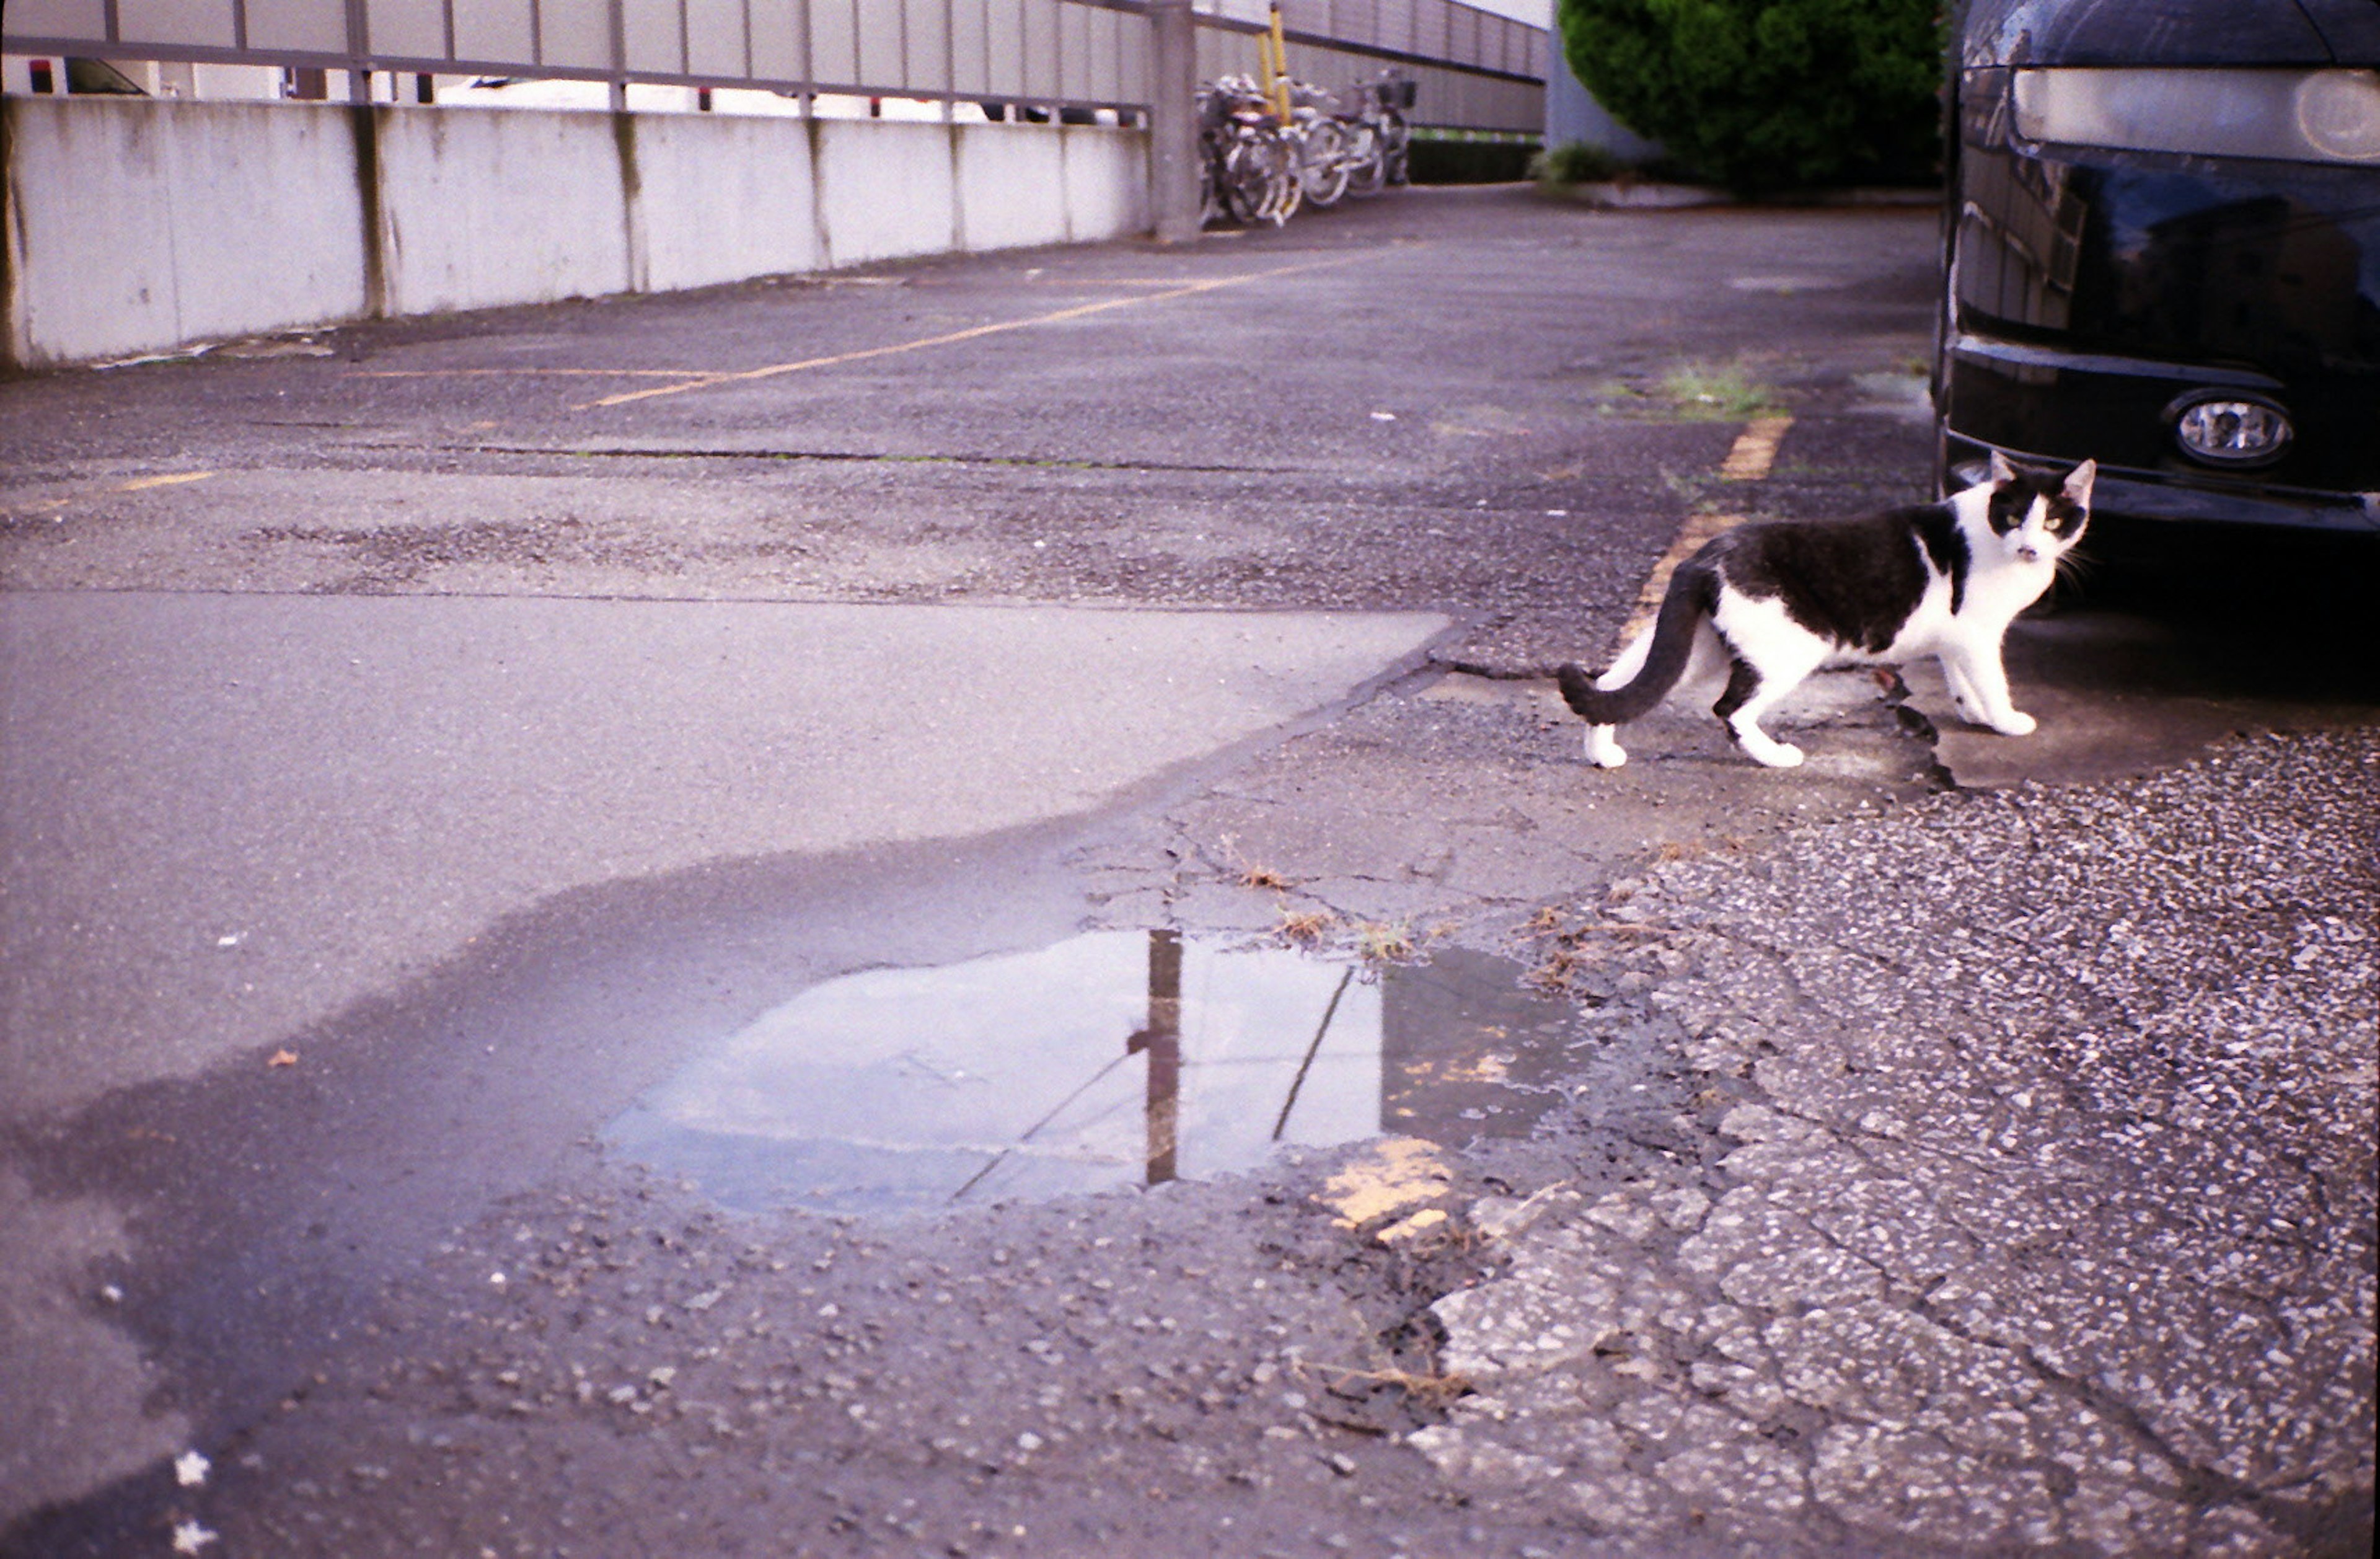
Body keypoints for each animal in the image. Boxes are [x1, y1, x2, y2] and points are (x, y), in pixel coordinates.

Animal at [1571, 452, 2094, 766]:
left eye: (2052, 522)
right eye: (2014, 517)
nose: (2029, 548)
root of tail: (1703, 556)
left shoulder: (1956, 639)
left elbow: (1963, 683)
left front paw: (1975, 715)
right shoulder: (1979, 634)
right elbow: (1993, 681)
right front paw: (2006, 721)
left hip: (1697, 649)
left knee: (1613, 685)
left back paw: (1603, 753)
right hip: (1789, 648)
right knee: (1729, 709)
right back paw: (1776, 756)